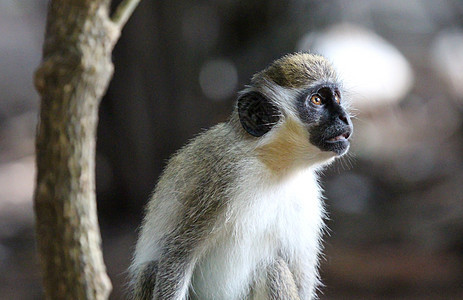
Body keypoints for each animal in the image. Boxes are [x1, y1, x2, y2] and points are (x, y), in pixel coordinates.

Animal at [129, 52, 354, 298]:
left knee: (273, 268)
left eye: (337, 97)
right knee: (152, 269)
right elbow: (178, 255)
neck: (273, 166)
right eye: (317, 100)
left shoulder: (308, 195)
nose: (344, 118)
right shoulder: (221, 175)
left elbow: (301, 281)